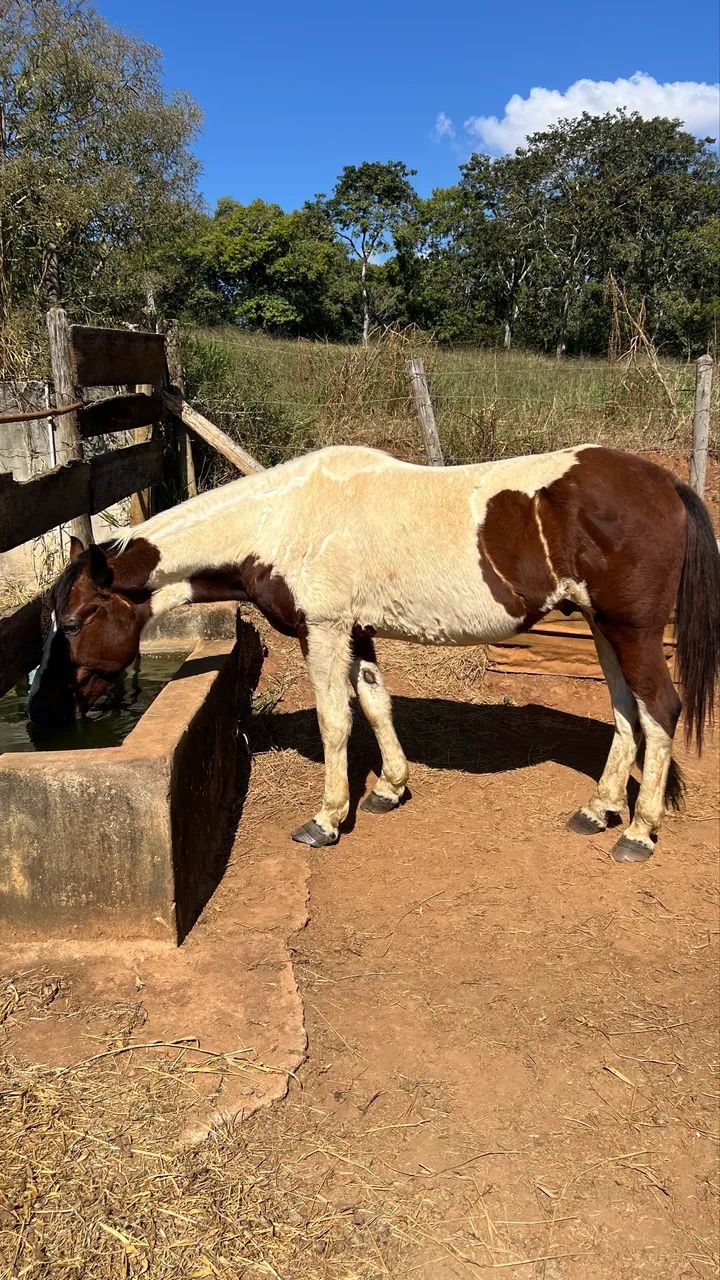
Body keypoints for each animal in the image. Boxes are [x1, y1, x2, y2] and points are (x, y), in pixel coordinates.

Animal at [27, 443, 720, 862]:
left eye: (77, 620)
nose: (40, 716)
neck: (284, 521)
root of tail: (666, 483)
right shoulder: (356, 633)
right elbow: (376, 705)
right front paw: (389, 787)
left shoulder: (326, 630)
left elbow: (336, 722)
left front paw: (327, 818)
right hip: (605, 629)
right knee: (628, 713)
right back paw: (600, 808)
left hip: (631, 630)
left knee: (661, 709)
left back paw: (638, 832)